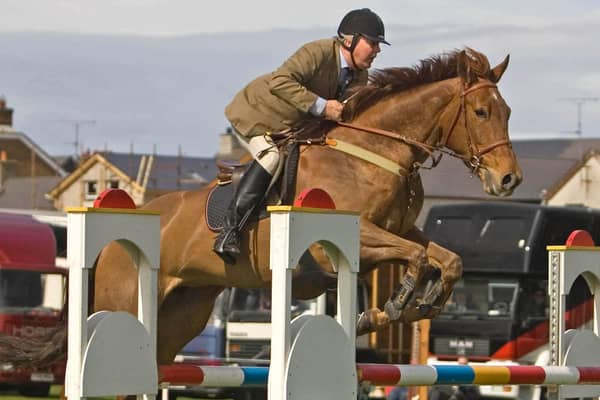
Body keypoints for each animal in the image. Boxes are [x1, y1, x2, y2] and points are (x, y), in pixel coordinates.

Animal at [0, 45, 520, 368]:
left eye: (508, 112)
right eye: (480, 112)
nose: (508, 179)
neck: (373, 152)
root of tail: (111, 240)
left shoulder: (401, 230)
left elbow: (445, 258)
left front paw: (414, 306)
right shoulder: (348, 241)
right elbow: (416, 258)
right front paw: (390, 307)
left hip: (182, 313)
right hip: (122, 301)